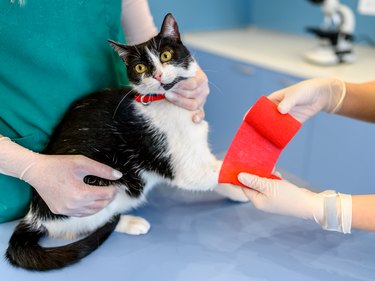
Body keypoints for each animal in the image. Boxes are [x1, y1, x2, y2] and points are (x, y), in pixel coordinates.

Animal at [5, 12, 250, 270]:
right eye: (140, 67)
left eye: (166, 55)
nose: (158, 75)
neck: (164, 101)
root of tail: (34, 214)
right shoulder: (184, 166)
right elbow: (219, 171)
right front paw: (255, 177)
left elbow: (217, 170)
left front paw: (237, 192)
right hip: (102, 187)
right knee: (84, 225)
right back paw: (128, 222)